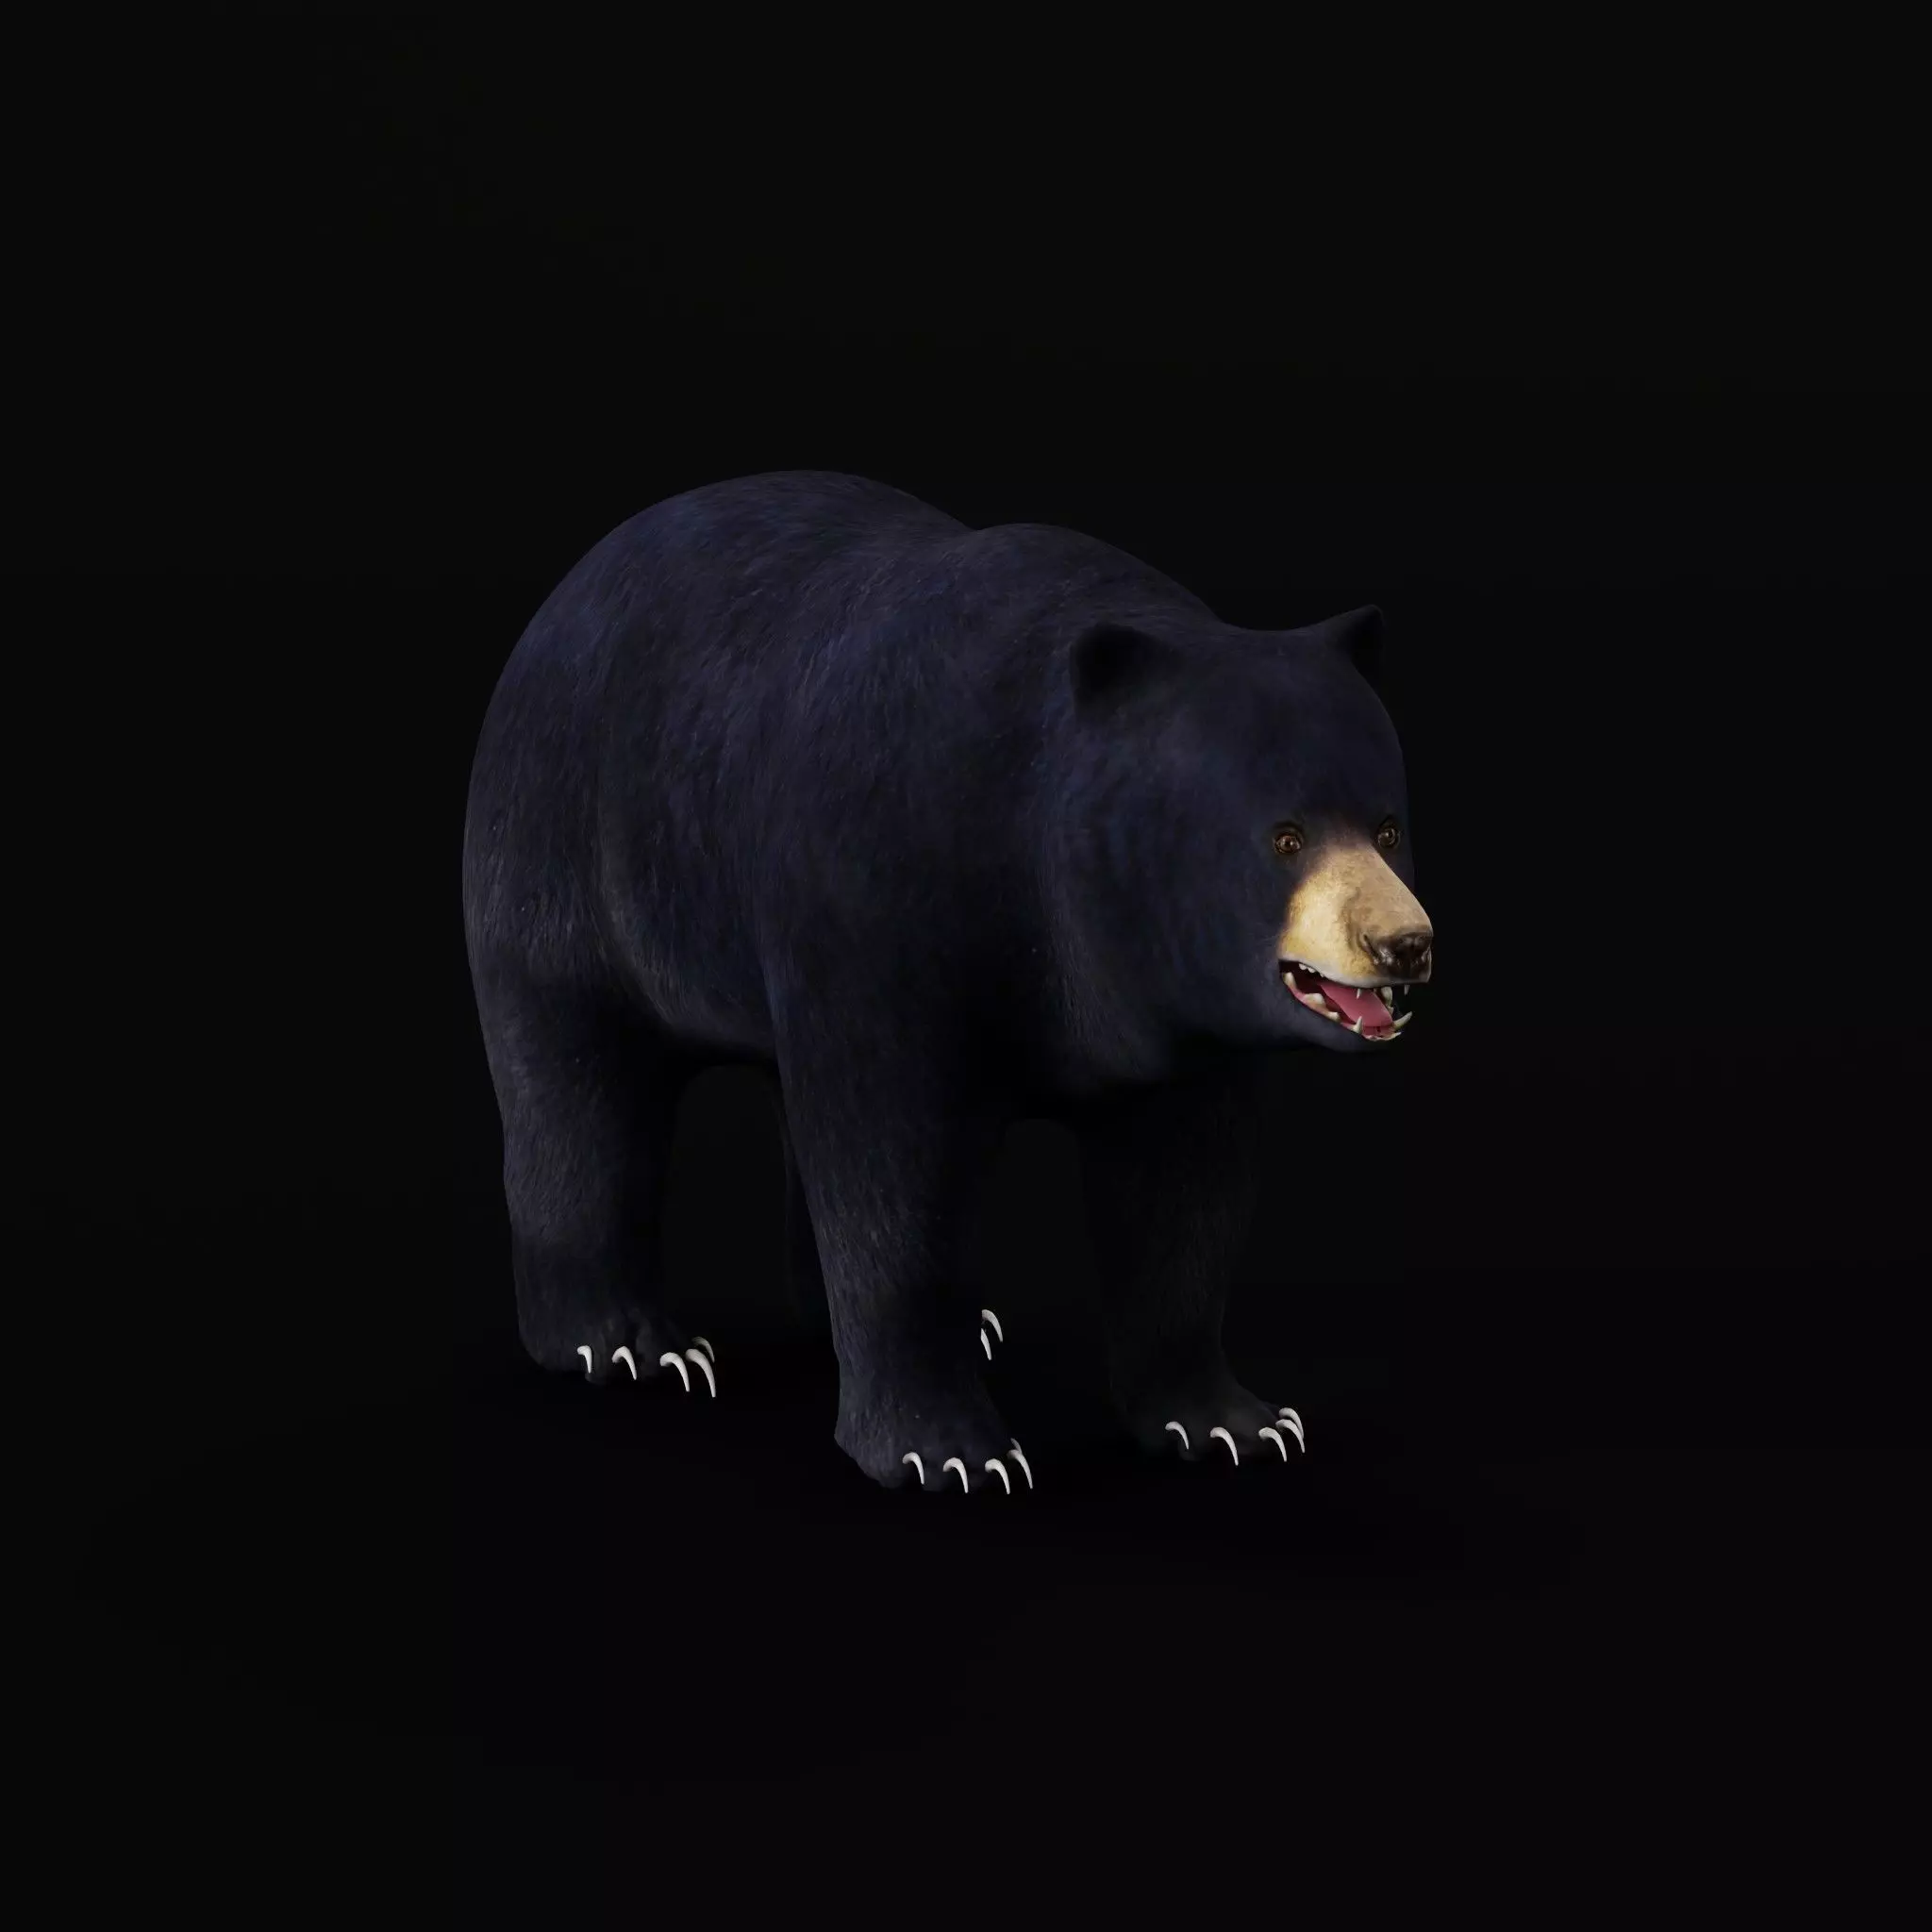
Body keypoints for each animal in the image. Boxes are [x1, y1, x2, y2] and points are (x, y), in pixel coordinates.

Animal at [461, 471, 1432, 1493]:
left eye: (1386, 826)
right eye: (1284, 836)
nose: (1403, 943)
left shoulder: (1184, 1013)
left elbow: (1184, 1187)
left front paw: (1233, 1421)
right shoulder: (885, 885)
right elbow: (892, 1158)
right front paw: (950, 1450)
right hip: (566, 848)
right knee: (577, 1087)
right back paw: (626, 1343)